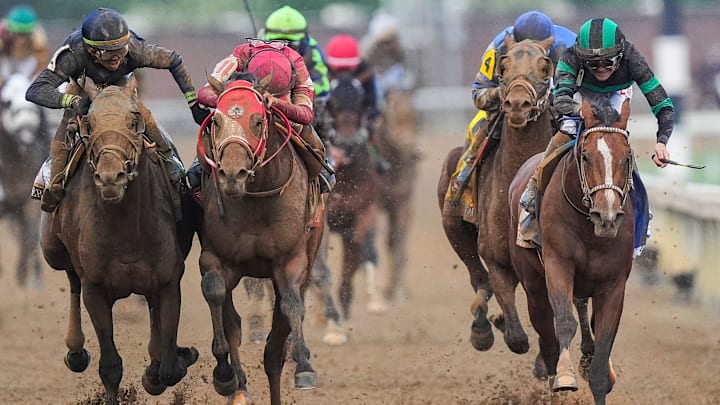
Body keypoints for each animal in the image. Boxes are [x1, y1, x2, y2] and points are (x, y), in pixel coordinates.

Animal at [39, 75, 197, 405]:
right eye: (88, 123)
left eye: (134, 120)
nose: (111, 178)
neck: (127, 231)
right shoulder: (96, 290)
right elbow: (110, 366)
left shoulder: (168, 282)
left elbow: (168, 368)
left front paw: (171, 360)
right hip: (52, 249)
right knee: (72, 277)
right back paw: (75, 351)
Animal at [196, 75, 324, 405]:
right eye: (216, 120)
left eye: (257, 120)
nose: (232, 174)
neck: (255, 199)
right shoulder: (216, 257)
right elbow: (215, 292)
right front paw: (225, 374)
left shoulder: (291, 261)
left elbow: (291, 306)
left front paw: (305, 367)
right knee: (234, 324)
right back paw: (239, 387)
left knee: (275, 346)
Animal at [436, 35, 555, 354]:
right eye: (503, 65)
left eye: (545, 66)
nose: (517, 104)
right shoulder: (497, 259)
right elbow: (517, 337)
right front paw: (496, 324)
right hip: (453, 220)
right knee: (479, 278)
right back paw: (482, 326)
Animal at [508, 94, 634, 405]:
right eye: (586, 156)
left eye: (627, 157)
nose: (607, 216)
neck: (591, 232)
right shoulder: (558, 264)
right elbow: (564, 322)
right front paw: (565, 379)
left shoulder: (613, 283)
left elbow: (604, 339)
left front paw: (599, 374)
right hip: (533, 286)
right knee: (548, 339)